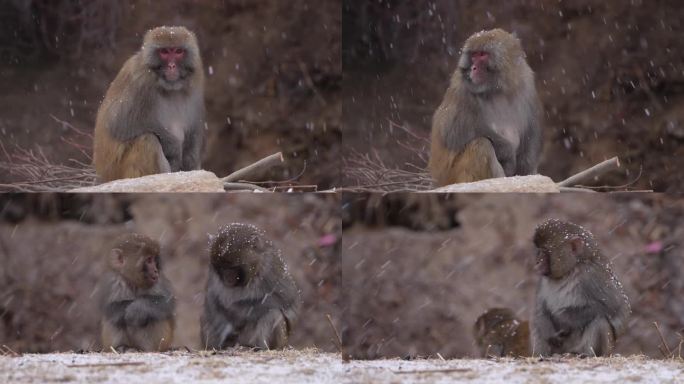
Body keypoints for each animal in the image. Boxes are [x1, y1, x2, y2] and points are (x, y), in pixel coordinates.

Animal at [200, 222, 302, 352]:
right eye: (221, 268)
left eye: (232, 268)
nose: (227, 277)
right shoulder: (212, 272)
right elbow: (211, 298)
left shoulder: (270, 268)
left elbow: (287, 299)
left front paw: (235, 311)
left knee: (273, 314)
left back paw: (258, 347)